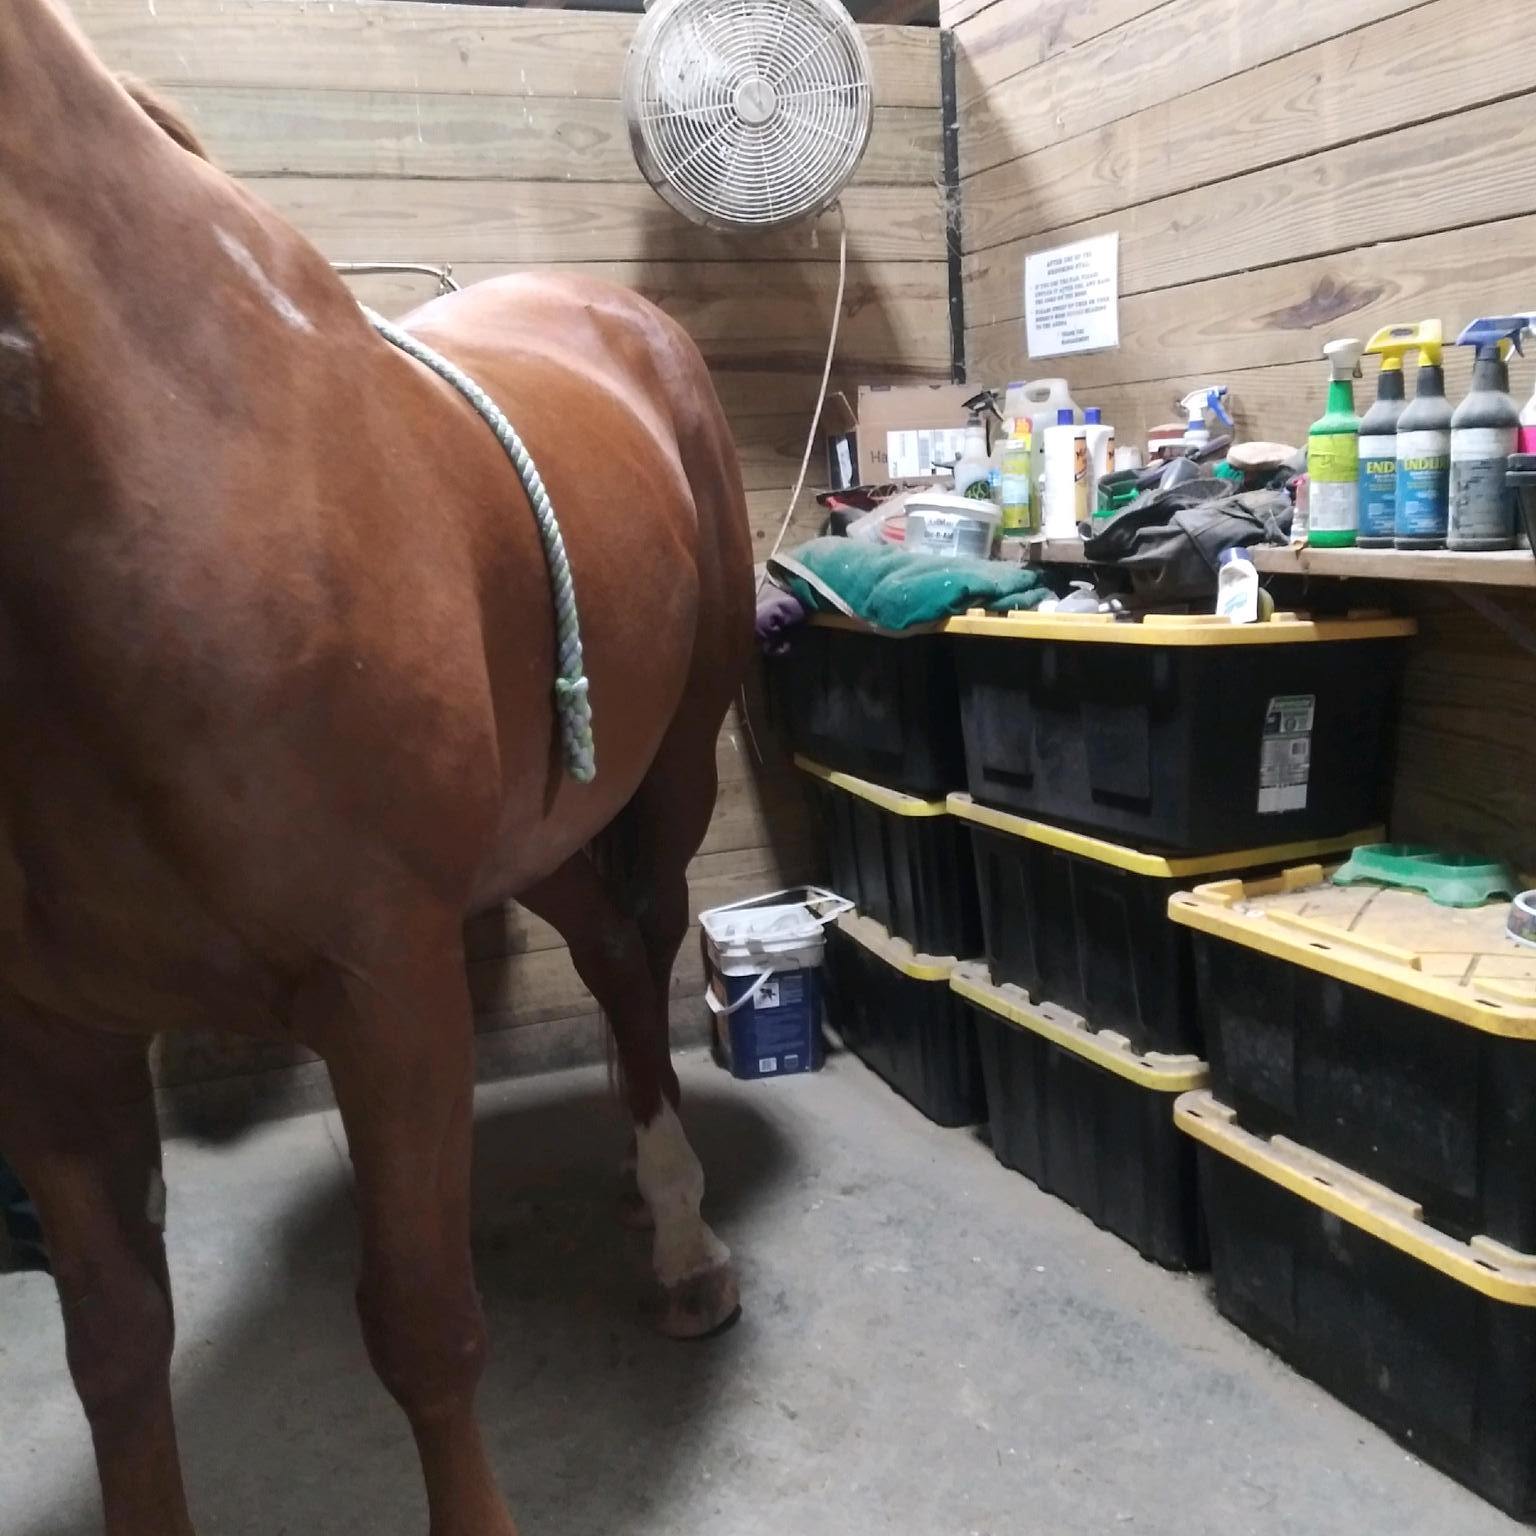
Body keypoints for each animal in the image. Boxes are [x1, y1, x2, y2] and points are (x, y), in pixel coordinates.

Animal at [0, 3, 756, 1532]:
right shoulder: (51, 1043)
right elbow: (114, 1351)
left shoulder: (387, 988)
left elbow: (422, 1324)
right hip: (532, 835)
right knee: (607, 953)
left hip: (664, 779)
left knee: (644, 946)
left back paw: (681, 1233)